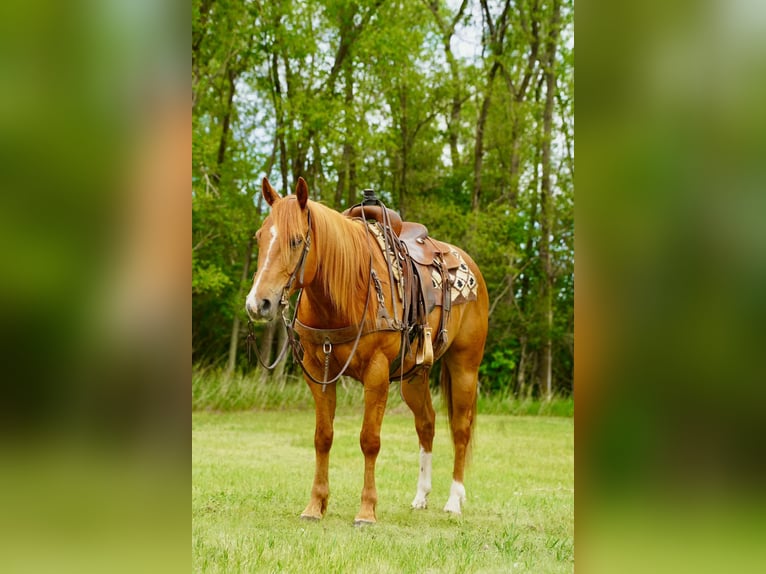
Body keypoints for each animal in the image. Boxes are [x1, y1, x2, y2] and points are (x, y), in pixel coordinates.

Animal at [245, 176, 488, 524]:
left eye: (295, 240)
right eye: (260, 237)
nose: (258, 303)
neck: (345, 293)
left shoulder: (377, 373)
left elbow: (369, 440)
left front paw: (367, 510)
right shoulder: (319, 374)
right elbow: (323, 436)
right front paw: (315, 505)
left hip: (465, 366)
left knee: (460, 428)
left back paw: (454, 500)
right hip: (414, 376)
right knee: (426, 424)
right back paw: (421, 496)